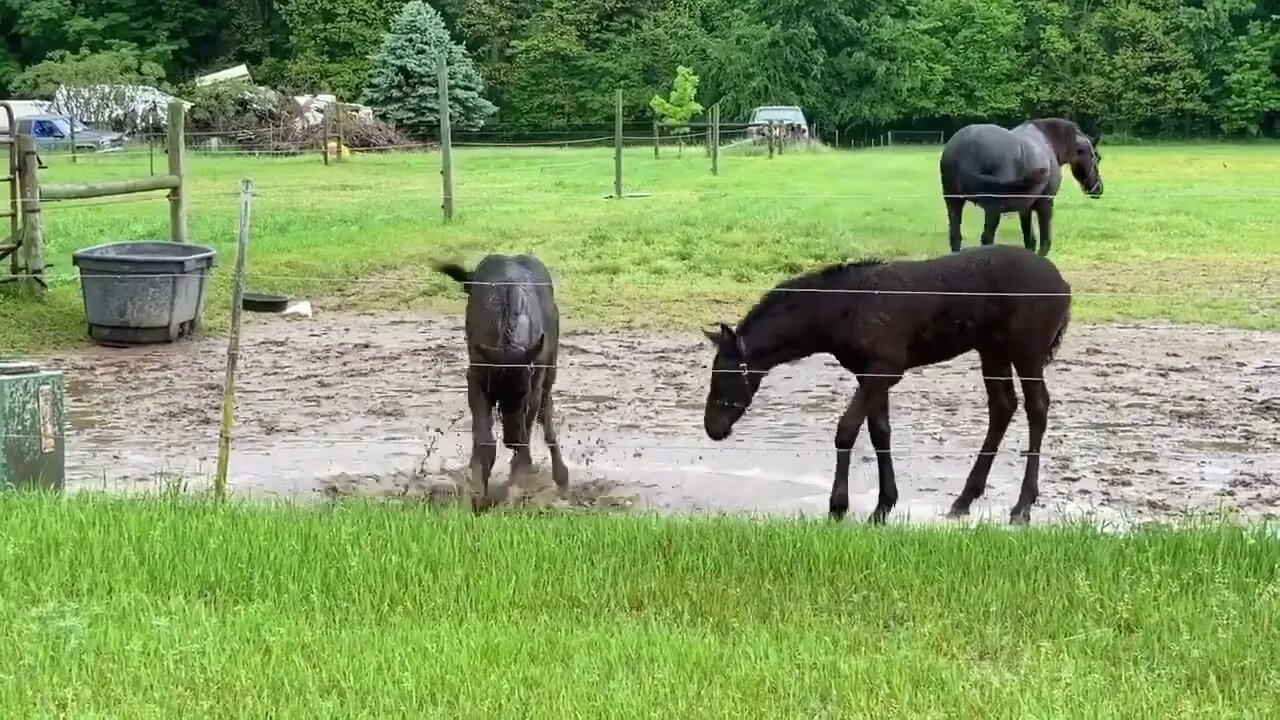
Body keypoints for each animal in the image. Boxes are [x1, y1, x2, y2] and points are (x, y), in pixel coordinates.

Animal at [936, 120, 1105, 257]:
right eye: (1096, 157)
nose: (1098, 189)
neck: (1047, 144)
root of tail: (967, 146)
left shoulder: (1025, 209)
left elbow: (1029, 240)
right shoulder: (1045, 203)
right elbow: (1044, 243)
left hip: (954, 202)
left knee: (955, 237)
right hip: (992, 208)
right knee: (986, 238)